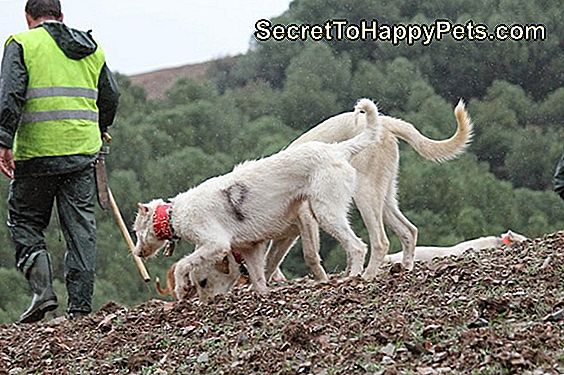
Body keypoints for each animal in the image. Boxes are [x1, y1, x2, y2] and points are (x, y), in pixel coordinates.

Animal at [132, 98, 378, 302]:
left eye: (135, 231)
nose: (137, 253)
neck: (173, 214)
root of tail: (338, 150)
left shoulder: (215, 243)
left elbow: (184, 264)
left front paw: (181, 287)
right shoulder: (252, 249)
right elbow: (260, 277)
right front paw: (262, 294)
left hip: (326, 213)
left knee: (357, 247)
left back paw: (355, 276)